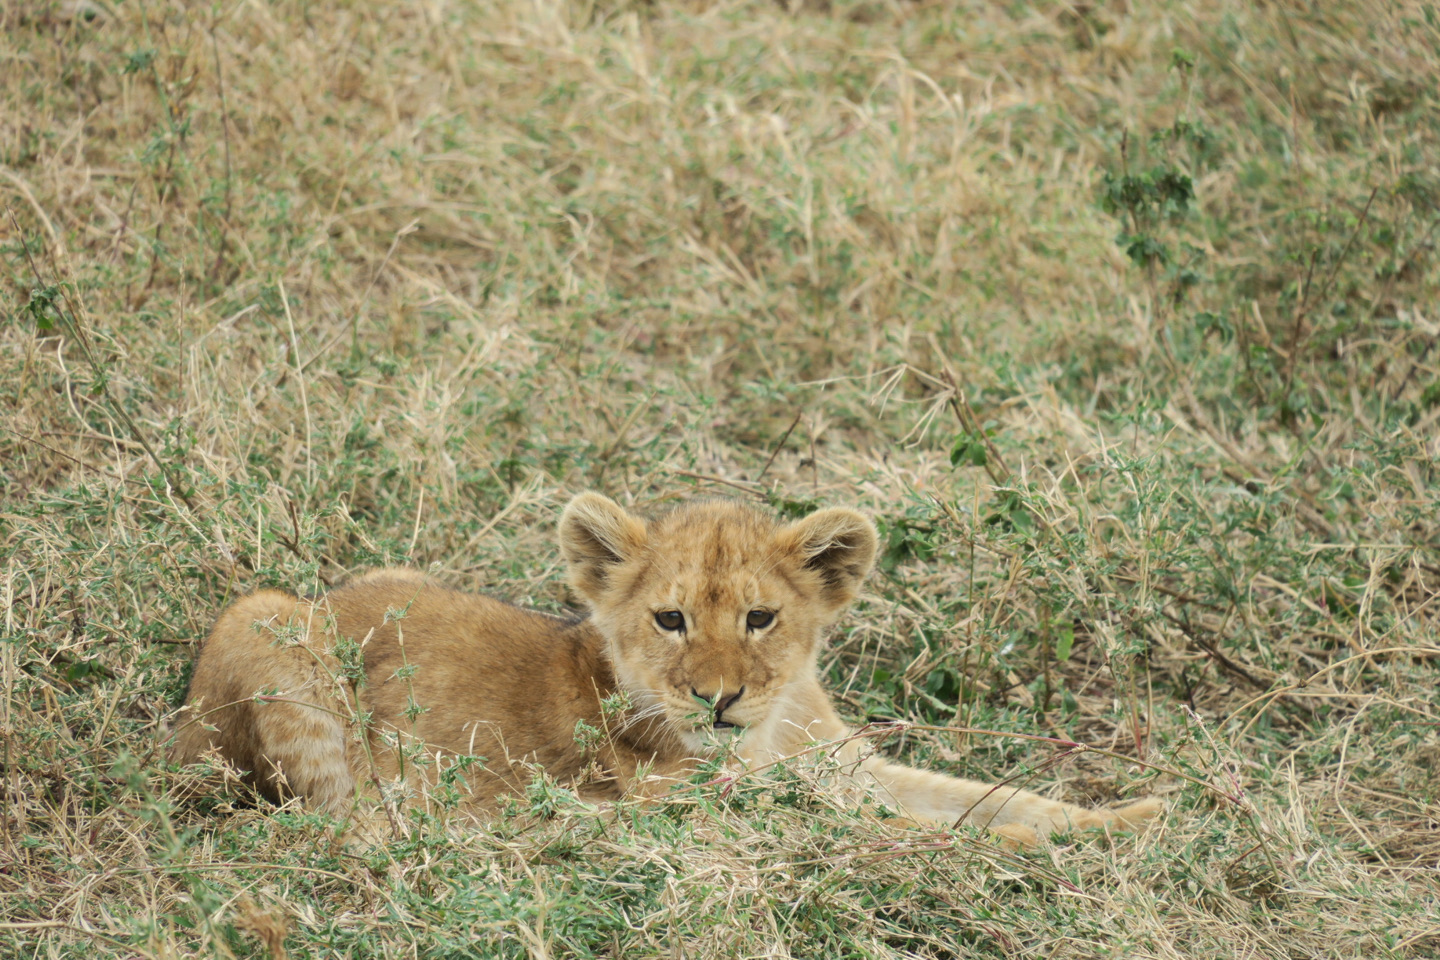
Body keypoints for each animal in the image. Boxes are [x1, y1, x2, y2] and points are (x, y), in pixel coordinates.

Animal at [170, 493, 1161, 846]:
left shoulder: (850, 768)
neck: (771, 734)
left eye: (761, 619)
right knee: (348, 827)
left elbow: (989, 799)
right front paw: (1056, 856)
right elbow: (914, 834)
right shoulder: (711, 810)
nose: (717, 699)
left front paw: (1134, 819)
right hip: (264, 616)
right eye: (670, 619)